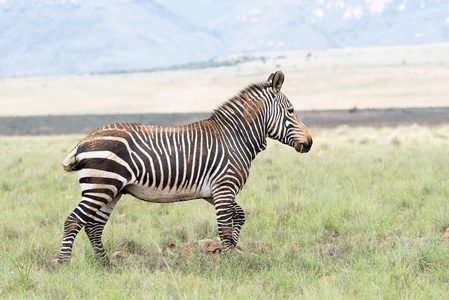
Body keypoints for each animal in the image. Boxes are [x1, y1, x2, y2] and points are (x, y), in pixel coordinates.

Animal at [57, 70, 312, 262]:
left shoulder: (213, 192)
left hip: (111, 190)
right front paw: (230, 261)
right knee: (73, 221)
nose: (309, 143)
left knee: (94, 226)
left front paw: (232, 251)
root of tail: (83, 140)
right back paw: (63, 264)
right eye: (291, 111)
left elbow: (239, 216)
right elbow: (224, 226)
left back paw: (106, 264)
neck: (235, 137)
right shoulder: (224, 187)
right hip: (101, 186)